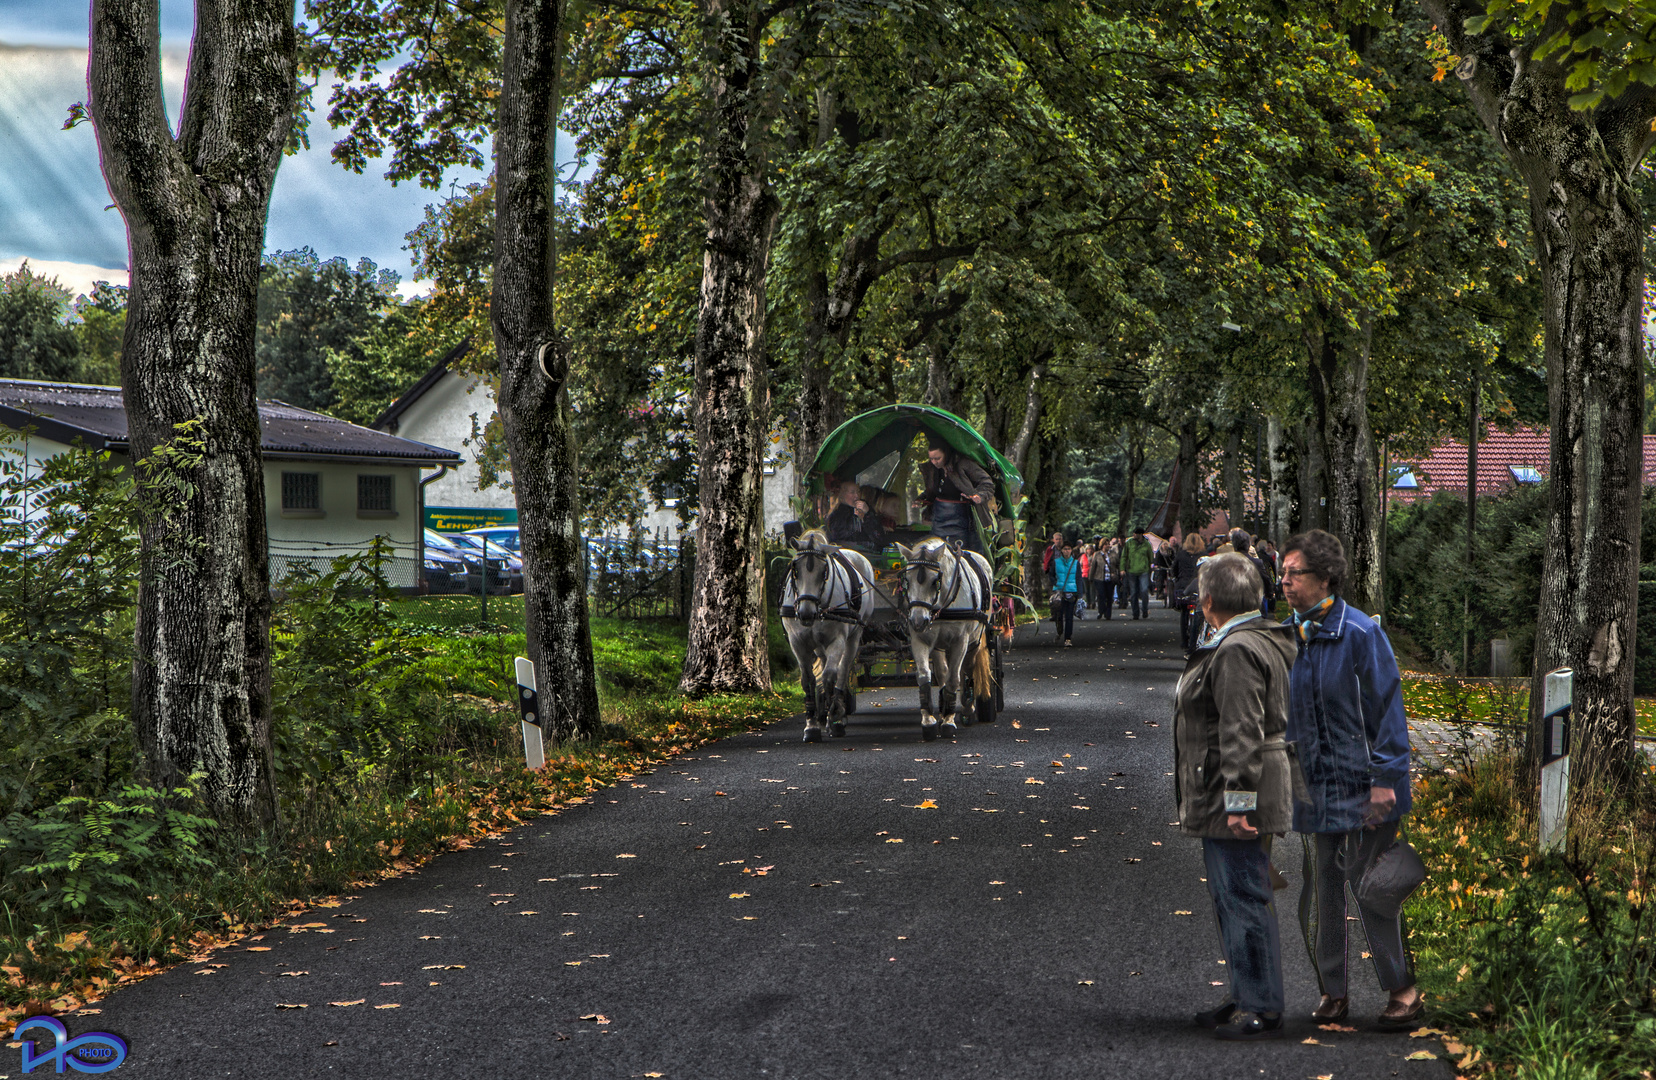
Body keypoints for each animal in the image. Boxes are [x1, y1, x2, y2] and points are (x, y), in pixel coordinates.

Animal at [778, 530, 880, 742]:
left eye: (824, 571)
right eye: (795, 569)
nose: (806, 613)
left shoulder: (837, 640)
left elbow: (830, 676)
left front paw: (834, 718)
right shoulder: (798, 643)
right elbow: (808, 680)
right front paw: (811, 724)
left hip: (854, 636)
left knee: (842, 669)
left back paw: (836, 711)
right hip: (818, 645)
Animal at [894, 536, 993, 742]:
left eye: (935, 581)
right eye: (907, 580)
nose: (917, 621)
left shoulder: (960, 641)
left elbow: (955, 678)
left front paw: (949, 722)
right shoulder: (920, 640)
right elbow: (925, 676)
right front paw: (929, 721)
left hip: (975, 640)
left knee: (967, 669)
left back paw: (967, 707)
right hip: (939, 646)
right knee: (942, 672)